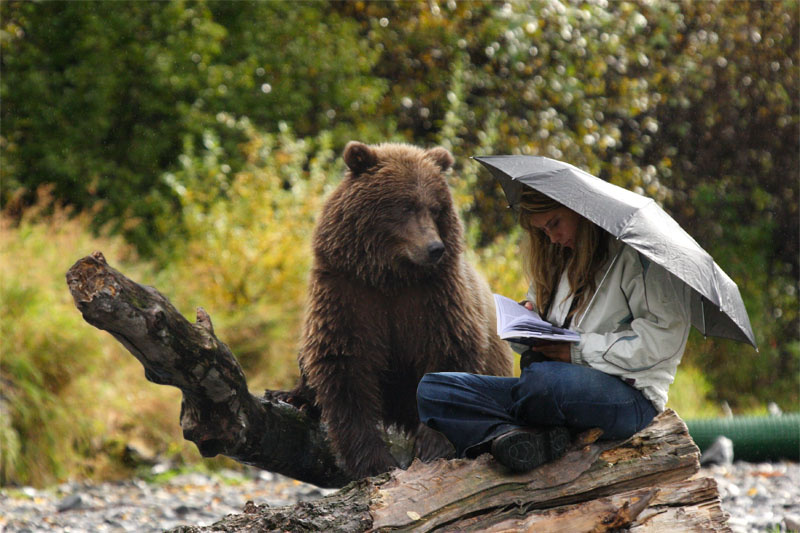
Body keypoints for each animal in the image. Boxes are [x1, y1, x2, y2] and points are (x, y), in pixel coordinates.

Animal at [295, 141, 513, 479]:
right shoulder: (349, 293)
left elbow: (446, 357)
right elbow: (345, 367)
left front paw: (433, 446)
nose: (435, 248)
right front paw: (372, 460)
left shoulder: (435, 299)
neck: (391, 277)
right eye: (405, 206)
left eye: (435, 208)